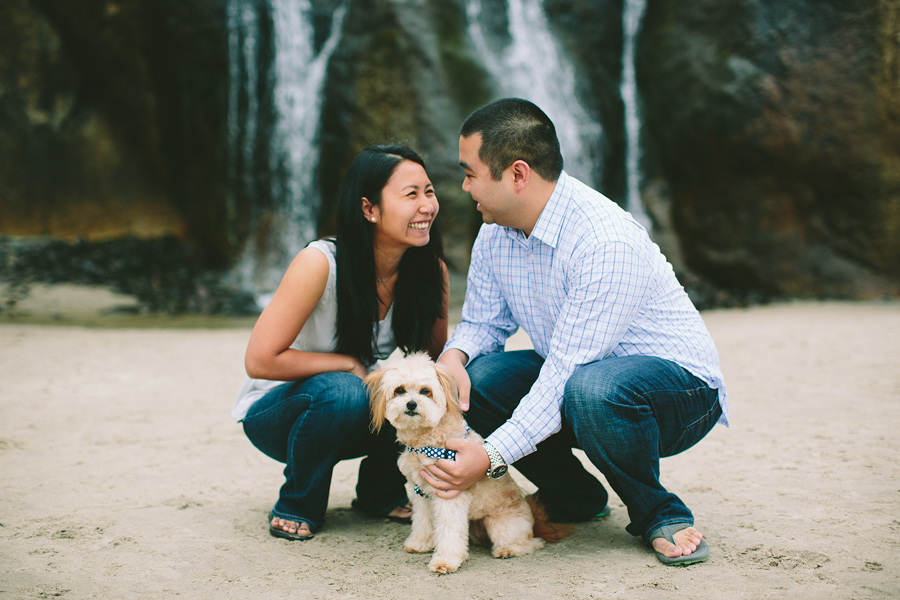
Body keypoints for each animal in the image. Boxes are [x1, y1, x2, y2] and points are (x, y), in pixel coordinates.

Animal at [364, 354, 564, 576]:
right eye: (399, 390)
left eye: (425, 391)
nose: (411, 404)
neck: (427, 438)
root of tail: (534, 523)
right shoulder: (422, 493)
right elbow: (422, 521)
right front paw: (420, 543)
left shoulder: (449, 494)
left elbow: (448, 531)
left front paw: (445, 561)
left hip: (500, 524)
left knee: (531, 543)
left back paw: (509, 549)